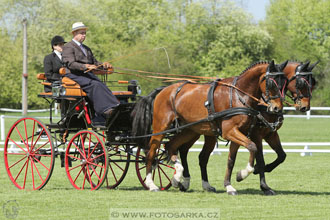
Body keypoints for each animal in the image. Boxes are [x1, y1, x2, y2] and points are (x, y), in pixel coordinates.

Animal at [133, 61, 288, 192]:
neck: (238, 95)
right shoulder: (230, 131)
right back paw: (151, 183)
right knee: (151, 152)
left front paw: (229, 185)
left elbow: (231, 160)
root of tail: (163, 90)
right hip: (160, 128)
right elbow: (253, 147)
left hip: (189, 130)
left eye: (284, 84)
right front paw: (243, 174)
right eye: (272, 83)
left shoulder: (239, 132)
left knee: (171, 146)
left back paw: (178, 178)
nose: (277, 108)